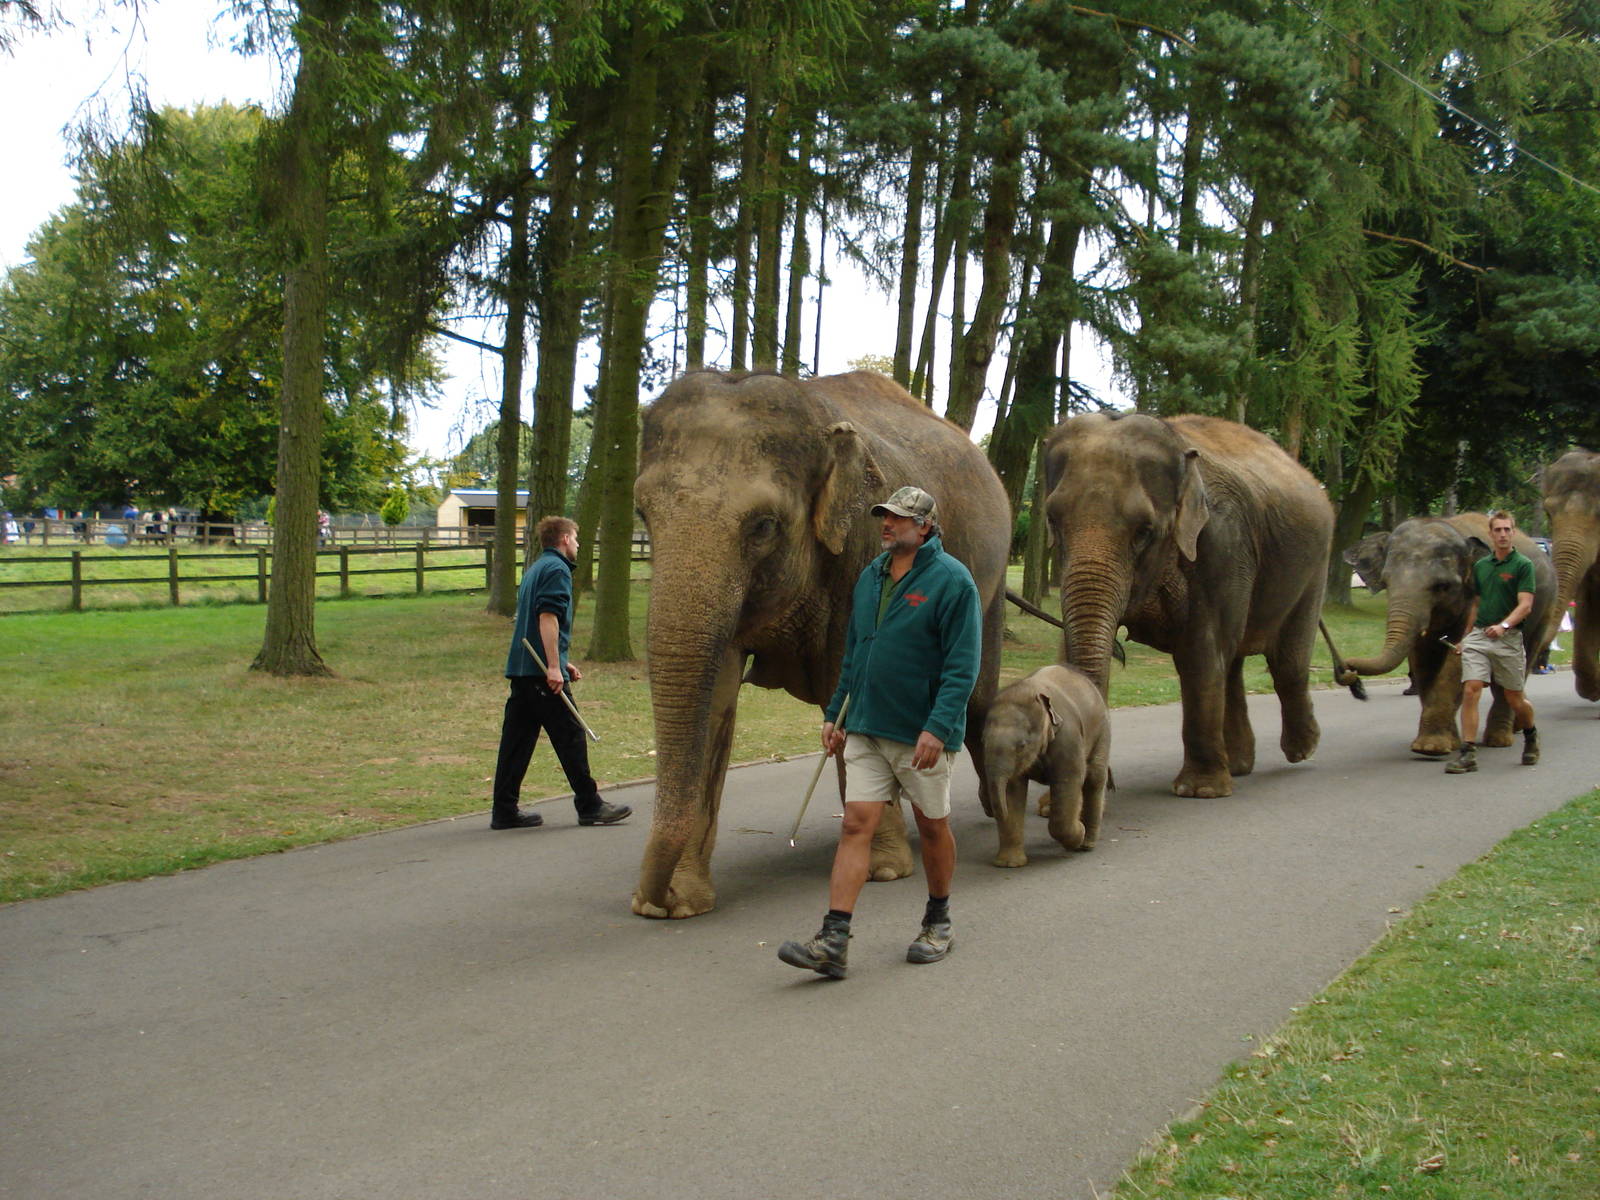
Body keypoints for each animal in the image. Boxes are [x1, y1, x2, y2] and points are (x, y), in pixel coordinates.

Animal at [631, 369, 1011, 918]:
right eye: (643, 513)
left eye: (764, 525)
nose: (655, 899)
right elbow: (717, 694)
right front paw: (682, 903)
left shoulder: (861, 552)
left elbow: (848, 678)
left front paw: (883, 870)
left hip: (992, 579)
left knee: (978, 698)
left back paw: (990, 810)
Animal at [981, 664, 1110, 868]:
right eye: (982, 741)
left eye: (1022, 746)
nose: (990, 811)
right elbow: (1012, 789)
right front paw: (1008, 864)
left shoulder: (1068, 738)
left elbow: (1069, 780)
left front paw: (1078, 835)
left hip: (1102, 731)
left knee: (1094, 779)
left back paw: (1086, 844)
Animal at [1041, 411, 1333, 799]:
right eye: (1052, 520)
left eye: (1144, 531)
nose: (1101, 779)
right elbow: (1070, 647)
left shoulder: (1222, 544)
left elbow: (1199, 650)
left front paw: (1200, 791)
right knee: (1232, 663)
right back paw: (1239, 765)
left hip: (1315, 567)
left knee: (1286, 661)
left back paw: (1301, 749)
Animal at [1338, 514, 1555, 754]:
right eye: (1385, 582)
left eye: (1442, 586)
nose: (1347, 669)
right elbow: (1423, 661)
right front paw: (1444, 744)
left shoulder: (1473, 597)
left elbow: (1458, 661)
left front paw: (1430, 748)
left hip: (1544, 608)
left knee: (1514, 675)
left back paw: (1499, 740)